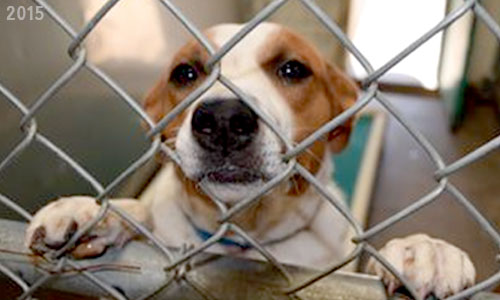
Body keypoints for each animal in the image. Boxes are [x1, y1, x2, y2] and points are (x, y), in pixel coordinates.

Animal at [25, 22, 474, 298]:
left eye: (293, 69)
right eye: (185, 73)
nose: (223, 119)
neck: (245, 235)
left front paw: (425, 250)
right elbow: (142, 213)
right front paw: (94, 212)